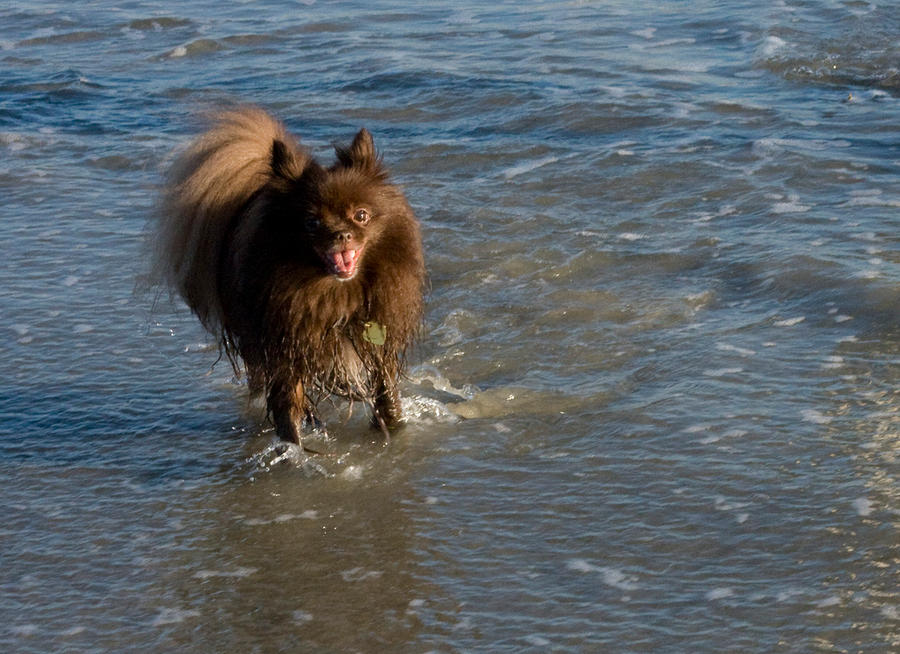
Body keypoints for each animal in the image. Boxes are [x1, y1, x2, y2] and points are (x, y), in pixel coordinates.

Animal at [156, 107, 428, 446]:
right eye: (312, 222)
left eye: (361, 215)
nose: (341, 234)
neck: (336, 293)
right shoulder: (285, 353)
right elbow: (288, 409)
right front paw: (293, 449)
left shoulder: (378, 340)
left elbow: (386, 391)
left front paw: (392, 425)